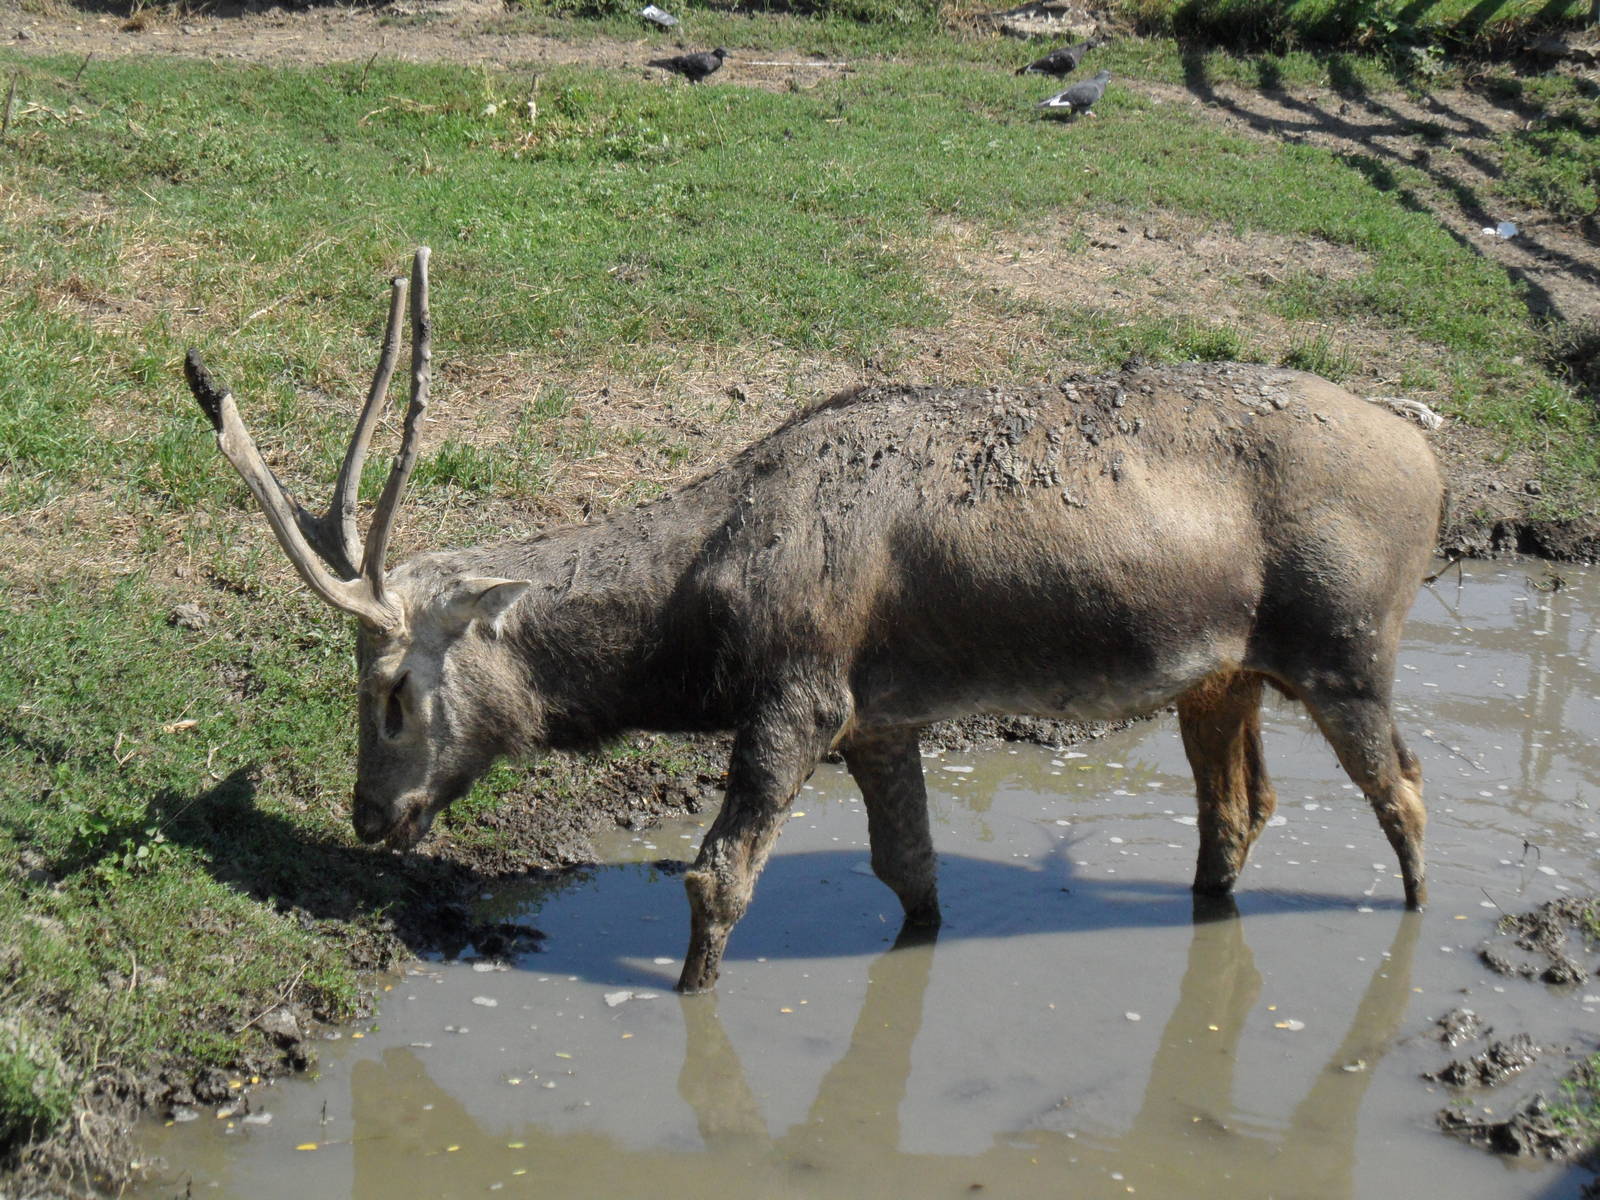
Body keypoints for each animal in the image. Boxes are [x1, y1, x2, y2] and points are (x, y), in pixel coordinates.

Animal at [184, 249, 1445, 993]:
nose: (368, 814)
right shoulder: (882, 717)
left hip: (1345, 645)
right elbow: (910, 870)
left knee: (1405, 791)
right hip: (1221, 672)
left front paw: (691, 1000)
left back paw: (1412, 927)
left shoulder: (802, 692)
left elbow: (717, 883)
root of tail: (1431, 463)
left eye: (392, 693)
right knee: (1239, 809)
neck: (696, 625)